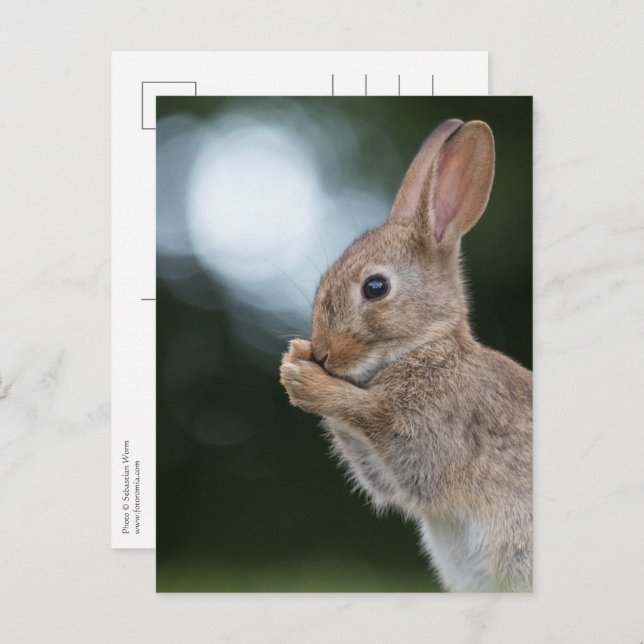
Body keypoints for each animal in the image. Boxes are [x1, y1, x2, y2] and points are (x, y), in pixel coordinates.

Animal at [279, 118, 532, 592]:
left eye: (375, 287)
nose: (324, 353)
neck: (426, 345)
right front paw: (295, 357)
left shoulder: (434, 433)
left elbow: (377, 423)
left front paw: (305, 380)